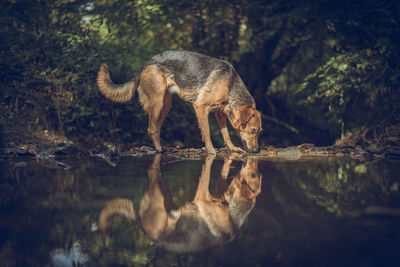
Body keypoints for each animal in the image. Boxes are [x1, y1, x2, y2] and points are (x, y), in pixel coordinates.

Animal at [95, 50, 260, 155]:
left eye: (258, 132)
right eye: (253, 131)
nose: (256, 151)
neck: (230, 85)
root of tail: (149, 62)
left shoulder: (219, 113)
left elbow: (226, 134)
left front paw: (232, 148)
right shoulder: (201, 107)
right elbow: (206, 133)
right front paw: (210, 150)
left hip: (166, 105)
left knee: (156, 129)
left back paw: (161, 148)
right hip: (157, 103)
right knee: (151, 129)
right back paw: (158, 150)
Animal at [99, 155, 262, 253]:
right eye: (253, 175)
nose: (252, 155)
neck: (232, 214)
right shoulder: (201, 196)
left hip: (164, 199)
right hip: (159, 199)